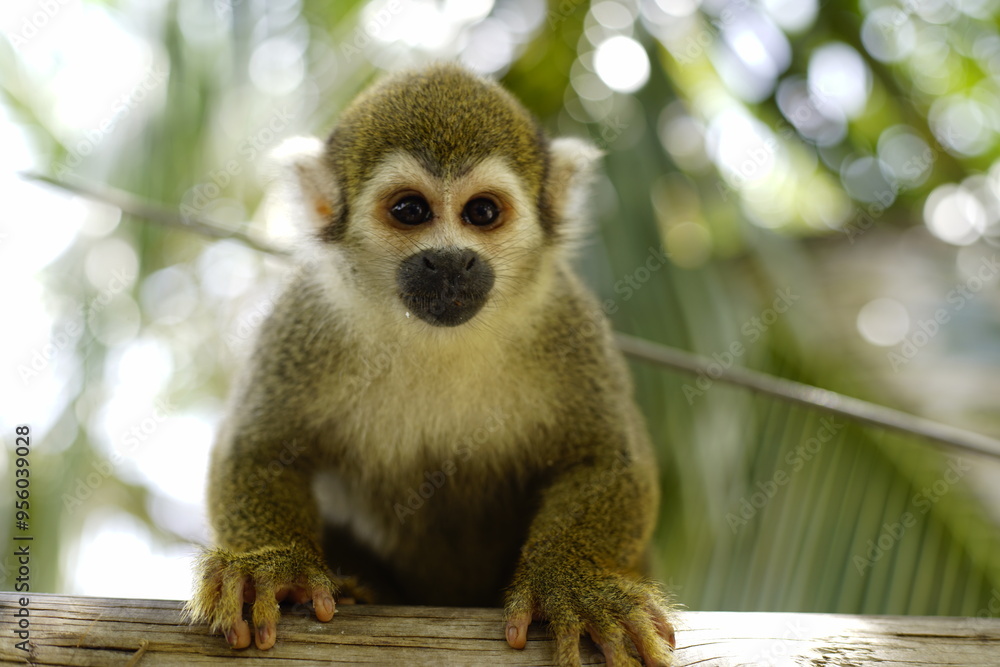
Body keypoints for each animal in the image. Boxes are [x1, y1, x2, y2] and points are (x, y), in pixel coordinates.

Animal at [187, 63, 676, 666]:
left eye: (482, 212)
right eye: (410, 210)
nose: (449, 261)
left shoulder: (567, 319)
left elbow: (606, 456)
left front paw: (575, 584)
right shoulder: (306, 317)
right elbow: (260, 448)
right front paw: (269, 566)